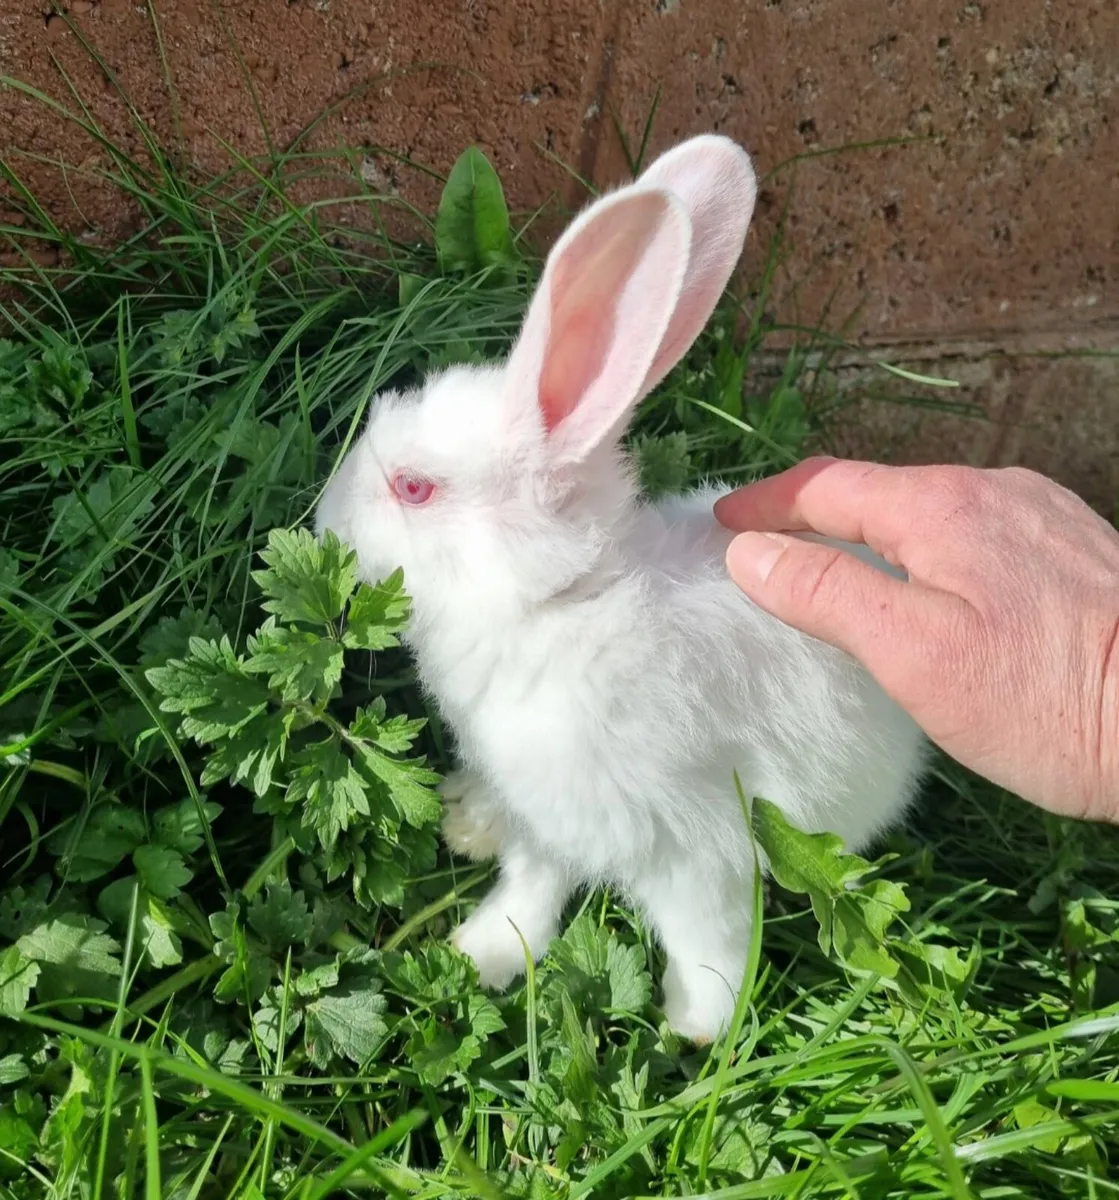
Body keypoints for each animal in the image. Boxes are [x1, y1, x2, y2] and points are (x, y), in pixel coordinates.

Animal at [315, 134, 929, 1043]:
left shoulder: (693, 843)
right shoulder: (550, 813)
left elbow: (701, 930)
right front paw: (482, 954)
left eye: (414, 489)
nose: (324, 518)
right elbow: (531, 884)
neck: (561, 602)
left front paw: (698, 1026)